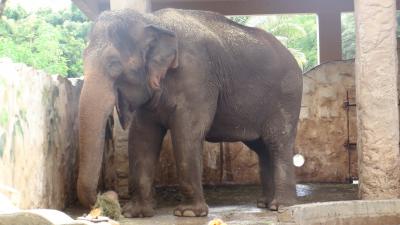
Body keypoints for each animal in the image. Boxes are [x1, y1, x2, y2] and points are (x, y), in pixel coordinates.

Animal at [76, 7, 302, 217]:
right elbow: (141, 136)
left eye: (113, 64)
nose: (109, 197)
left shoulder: (197, 76)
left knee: (277, 142)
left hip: (287, 96)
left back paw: (280, 206)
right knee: (262, 147)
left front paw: (189, 213)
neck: (153, 21)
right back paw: (264, 203)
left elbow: (187, 132)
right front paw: (136, 213)